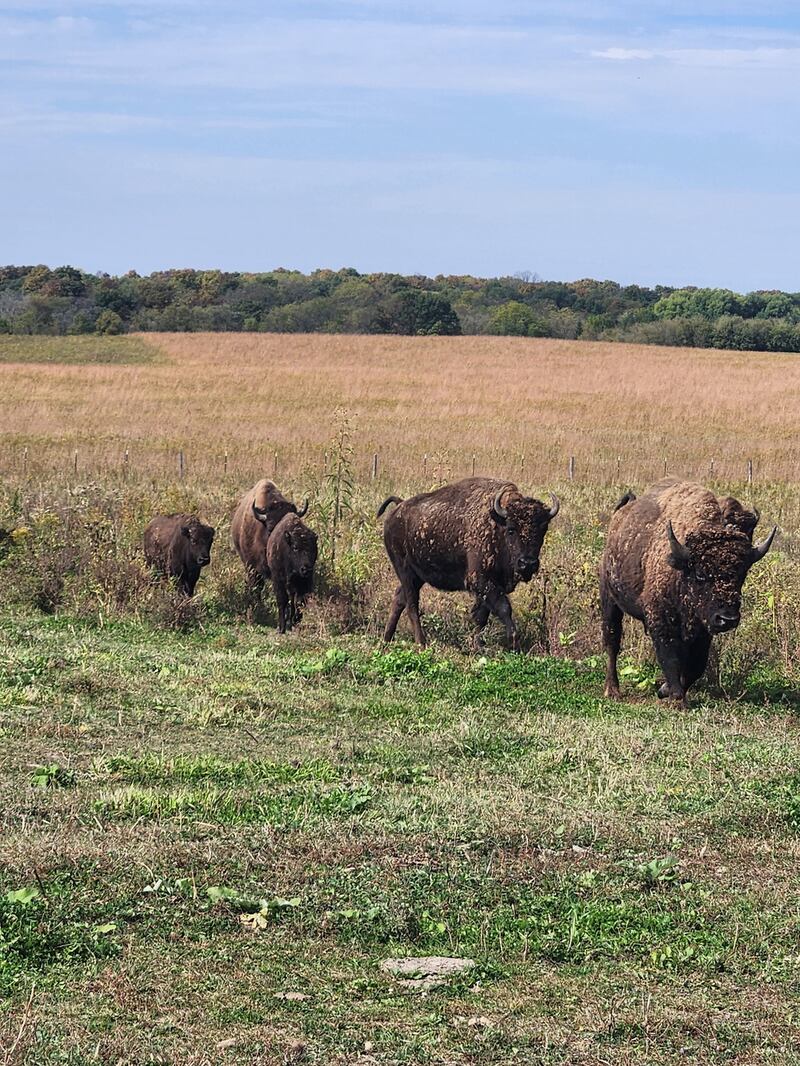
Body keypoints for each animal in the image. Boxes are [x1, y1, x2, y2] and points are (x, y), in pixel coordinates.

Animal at [377, 476, 559, 650]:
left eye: (543, 529)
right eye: (511, 529)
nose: (527, 563)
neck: (497, 524)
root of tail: (398, 507)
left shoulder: (490, 585)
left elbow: (481, 616)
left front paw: (477, 645)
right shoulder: (480, 581)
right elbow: (503, 608)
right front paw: (514, 642)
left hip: (417, 576)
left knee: (399, 599)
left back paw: (386, 640)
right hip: (405, 571)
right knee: (412, 605)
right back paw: (421, 643)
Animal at [600, 478, 776, 705]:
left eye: (742, 573)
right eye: (700, 573)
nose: (727, 619)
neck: (682, 568)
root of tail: (619, 516)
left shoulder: (702, 628)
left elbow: (695, 666)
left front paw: (664, 690)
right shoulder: (663, 621)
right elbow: (671, 658)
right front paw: (677, 699)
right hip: (609, 599)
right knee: (612, 641)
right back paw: (612, 690)